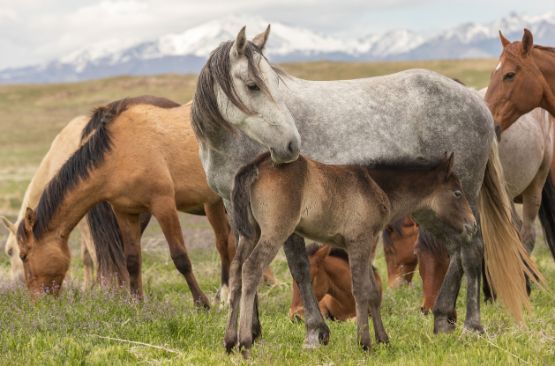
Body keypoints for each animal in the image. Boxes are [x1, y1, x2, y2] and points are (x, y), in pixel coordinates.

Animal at [228, 150, 476, 354]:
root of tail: (256, 166)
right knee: (251, 268)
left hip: (250, 233)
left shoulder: (363, 243)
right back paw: (245, 343)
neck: (375, 186)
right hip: (276, 231)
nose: (472, 224)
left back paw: (229, 342)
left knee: (236, 270)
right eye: (457, 193)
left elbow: (373, 290)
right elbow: (360, 289)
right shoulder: (360, 240)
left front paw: (383, 339)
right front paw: (364, 343)